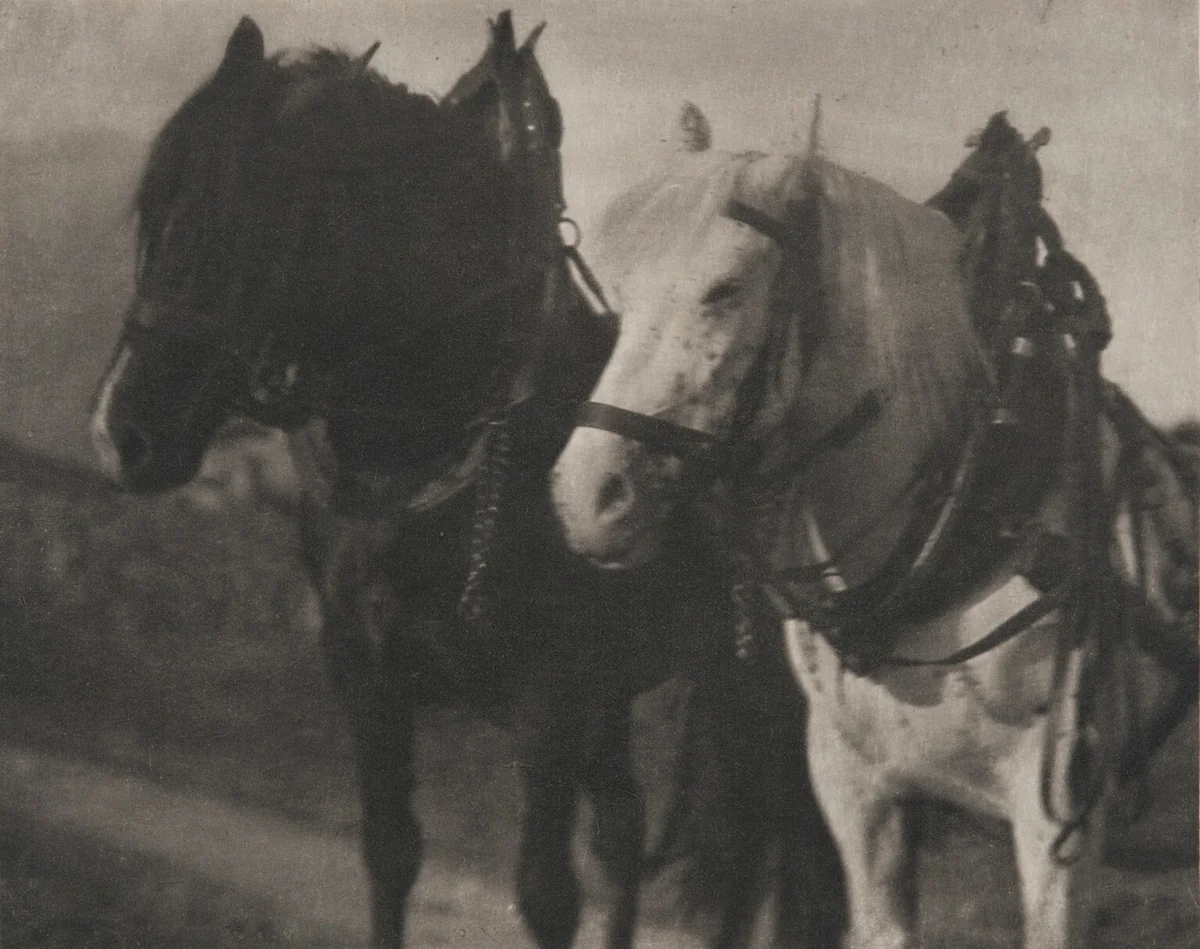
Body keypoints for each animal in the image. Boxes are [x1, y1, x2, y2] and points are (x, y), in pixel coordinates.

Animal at [87, 16, 846, 949]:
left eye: (254, 223)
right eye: (157, 210)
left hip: (766, 702)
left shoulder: (549, 702)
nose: (123, 432)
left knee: (766, 855)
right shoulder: (369, 677)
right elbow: (391, 854)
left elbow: (546, 892)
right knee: (632, 831)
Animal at [550, 105, 1199, 948]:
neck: (961, 524)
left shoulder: (1059, 823)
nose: (588, 495)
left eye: (724, 289)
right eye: (620, 296)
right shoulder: (860, 794)